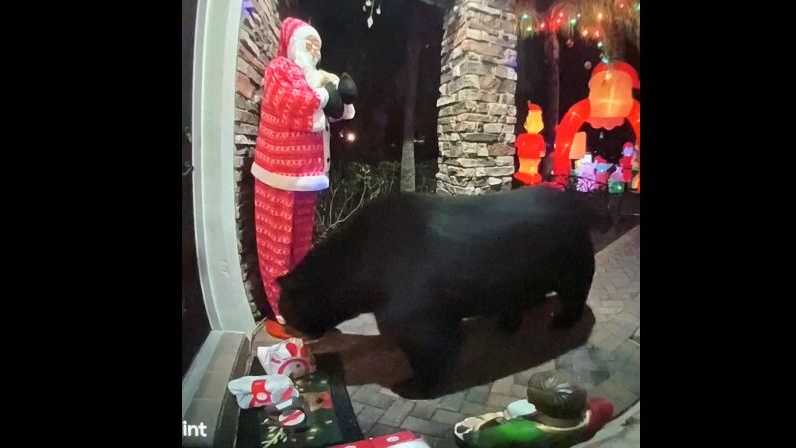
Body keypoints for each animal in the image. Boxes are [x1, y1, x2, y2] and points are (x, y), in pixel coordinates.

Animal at [278, 186, 596, 396]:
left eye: (284, 307)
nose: (285, 324)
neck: (357, 264)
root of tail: (575, 202)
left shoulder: (416, 317)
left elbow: (433, 352)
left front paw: (413, 386)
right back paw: (508, 322)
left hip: (572, 263)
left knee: (575, 293)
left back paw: (561, 320)